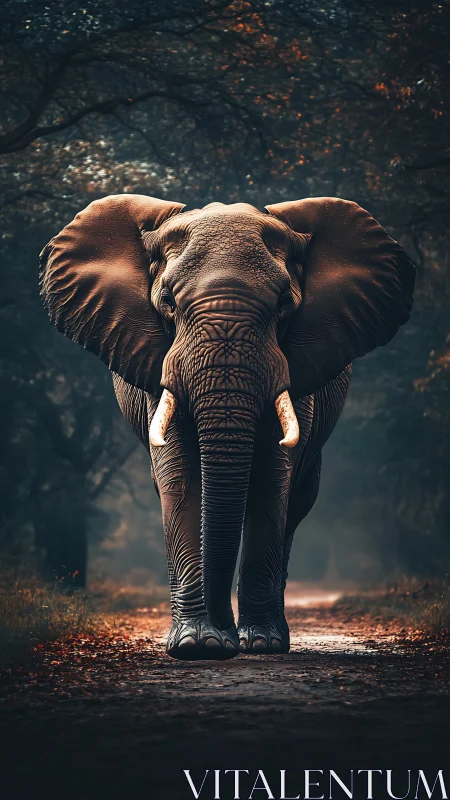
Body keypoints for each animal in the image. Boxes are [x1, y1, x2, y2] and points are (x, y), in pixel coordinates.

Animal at [40, 194, 415, 661]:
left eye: (283, 305)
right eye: (168, 302)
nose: (226, 638)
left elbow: (272, 479)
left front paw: (259, 644)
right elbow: (180, 477)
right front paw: (197, 645)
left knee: (295, 506)